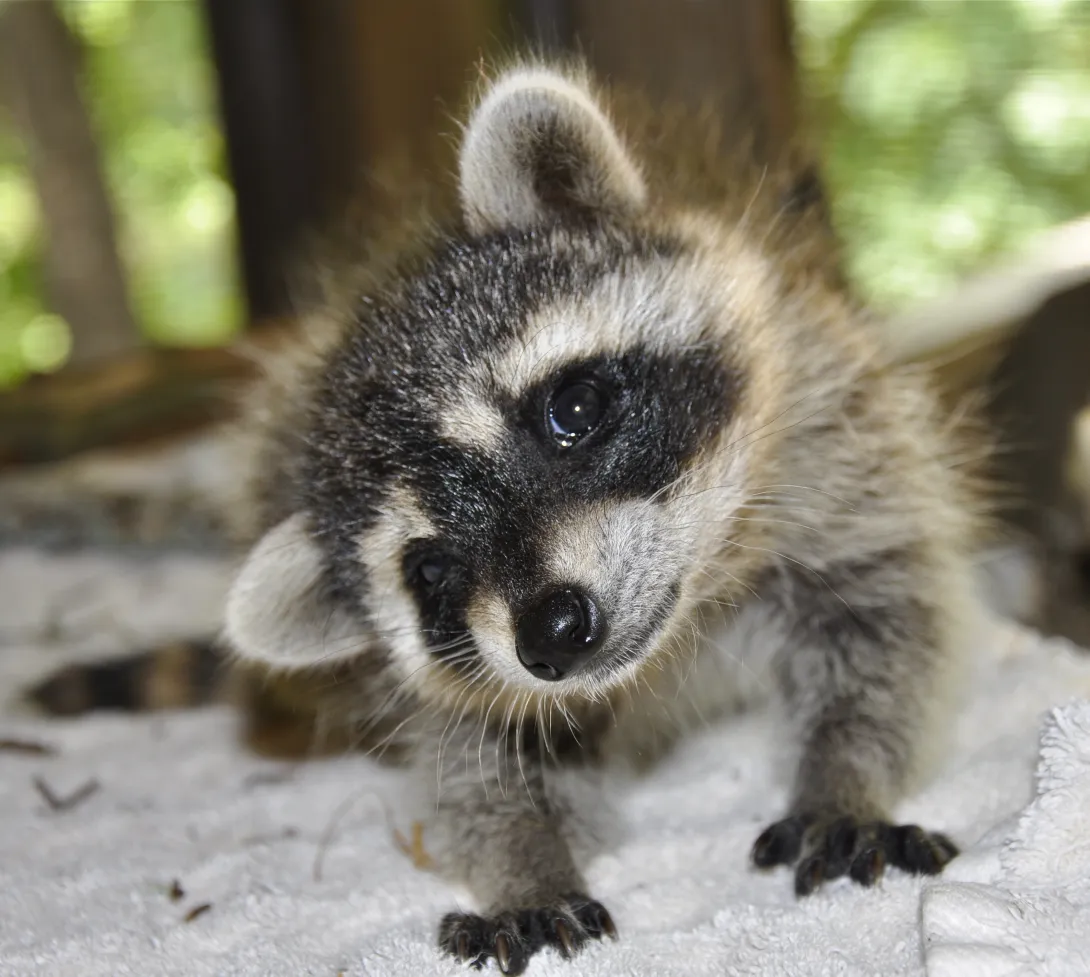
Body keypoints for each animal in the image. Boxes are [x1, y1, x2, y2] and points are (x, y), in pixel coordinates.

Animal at [27, 64, 977, 974]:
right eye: (432, 570)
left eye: (575, 409)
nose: (552, 631)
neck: (680, 633)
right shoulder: (438, 684)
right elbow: (475, 761)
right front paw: (527, 865)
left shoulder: (832, 432)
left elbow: (885, 626)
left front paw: (843, 775)